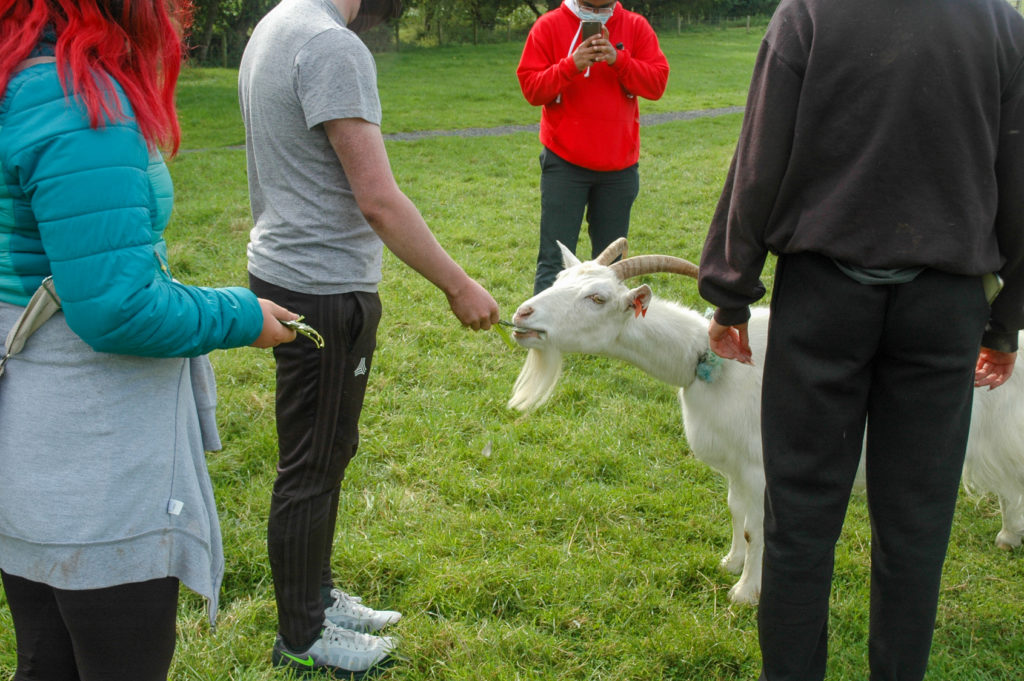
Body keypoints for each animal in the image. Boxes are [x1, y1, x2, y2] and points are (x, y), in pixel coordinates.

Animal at [508, 238, 1024, 605]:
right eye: (560, 277)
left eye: (596, 298)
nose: (522, 313)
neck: (709, 358)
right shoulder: (736, 465)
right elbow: (736, 511)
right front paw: (731, 563)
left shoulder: (761, 466)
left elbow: (758, 526)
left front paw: (746, 594)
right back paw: (1008, 536)